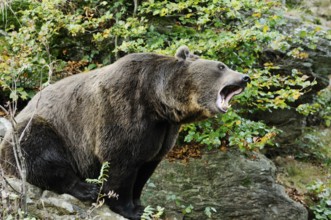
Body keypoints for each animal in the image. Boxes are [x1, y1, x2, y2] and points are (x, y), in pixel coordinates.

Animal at [0, 45, 249, 219]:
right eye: (221, 66)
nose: (245, 77)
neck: (158, 103)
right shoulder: (123, 108)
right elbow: (120, 162)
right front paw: (129, 208)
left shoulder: (162, 133)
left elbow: (146, 166)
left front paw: (142, 204)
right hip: (43, 128)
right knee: (37, 152)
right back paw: (86, 188)